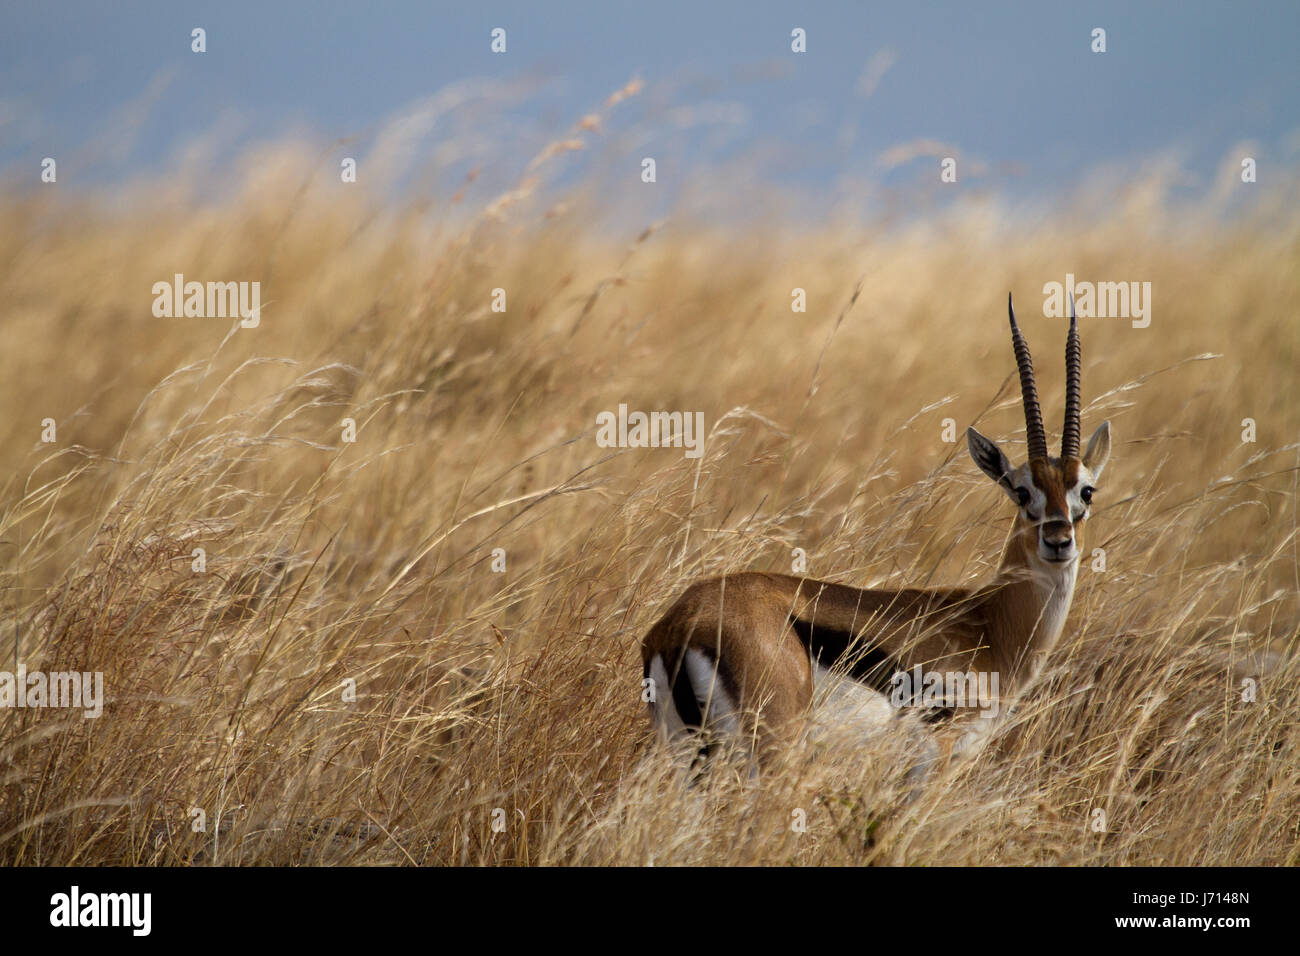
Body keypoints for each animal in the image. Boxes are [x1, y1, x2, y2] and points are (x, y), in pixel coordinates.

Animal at [642, 295, 1111, 767]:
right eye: (1021, 491)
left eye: (1085, 491)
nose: (1058, 542)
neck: (989, 625)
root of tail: (681, 623)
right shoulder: (935, 758)